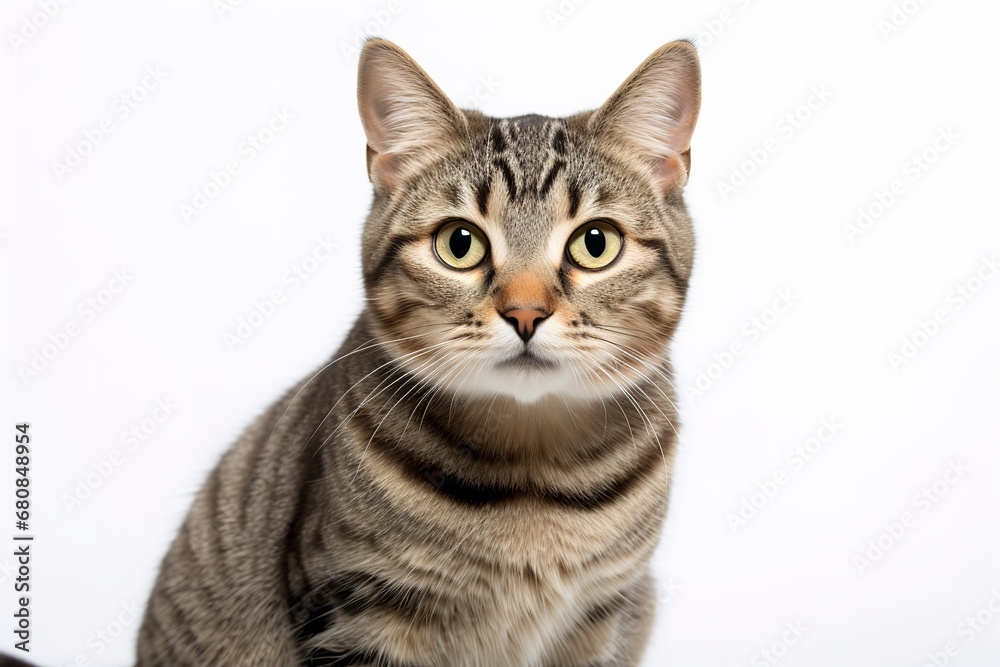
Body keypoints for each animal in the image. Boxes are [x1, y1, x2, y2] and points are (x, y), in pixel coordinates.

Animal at [133, 37, 704, 667]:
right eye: (460, 243)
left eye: (595, 243)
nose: (525, 314)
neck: (531, 474)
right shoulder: (356, 609)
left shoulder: (604, 614)